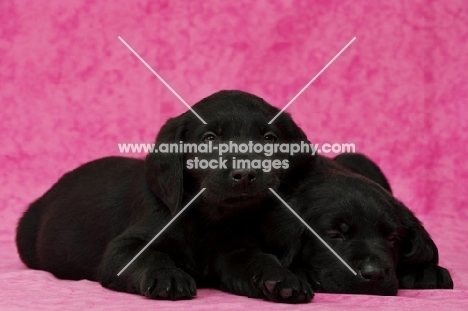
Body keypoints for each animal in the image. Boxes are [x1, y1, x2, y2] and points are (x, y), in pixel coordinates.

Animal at [16, 89, 312, 302]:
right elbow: (150, 256)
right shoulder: (122, 249)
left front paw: (282, 277)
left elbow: (259, 259)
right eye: (209, 138)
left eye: (270, 139)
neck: (209, 218)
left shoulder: (233, 252)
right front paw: (167, 276)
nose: (247, 173)